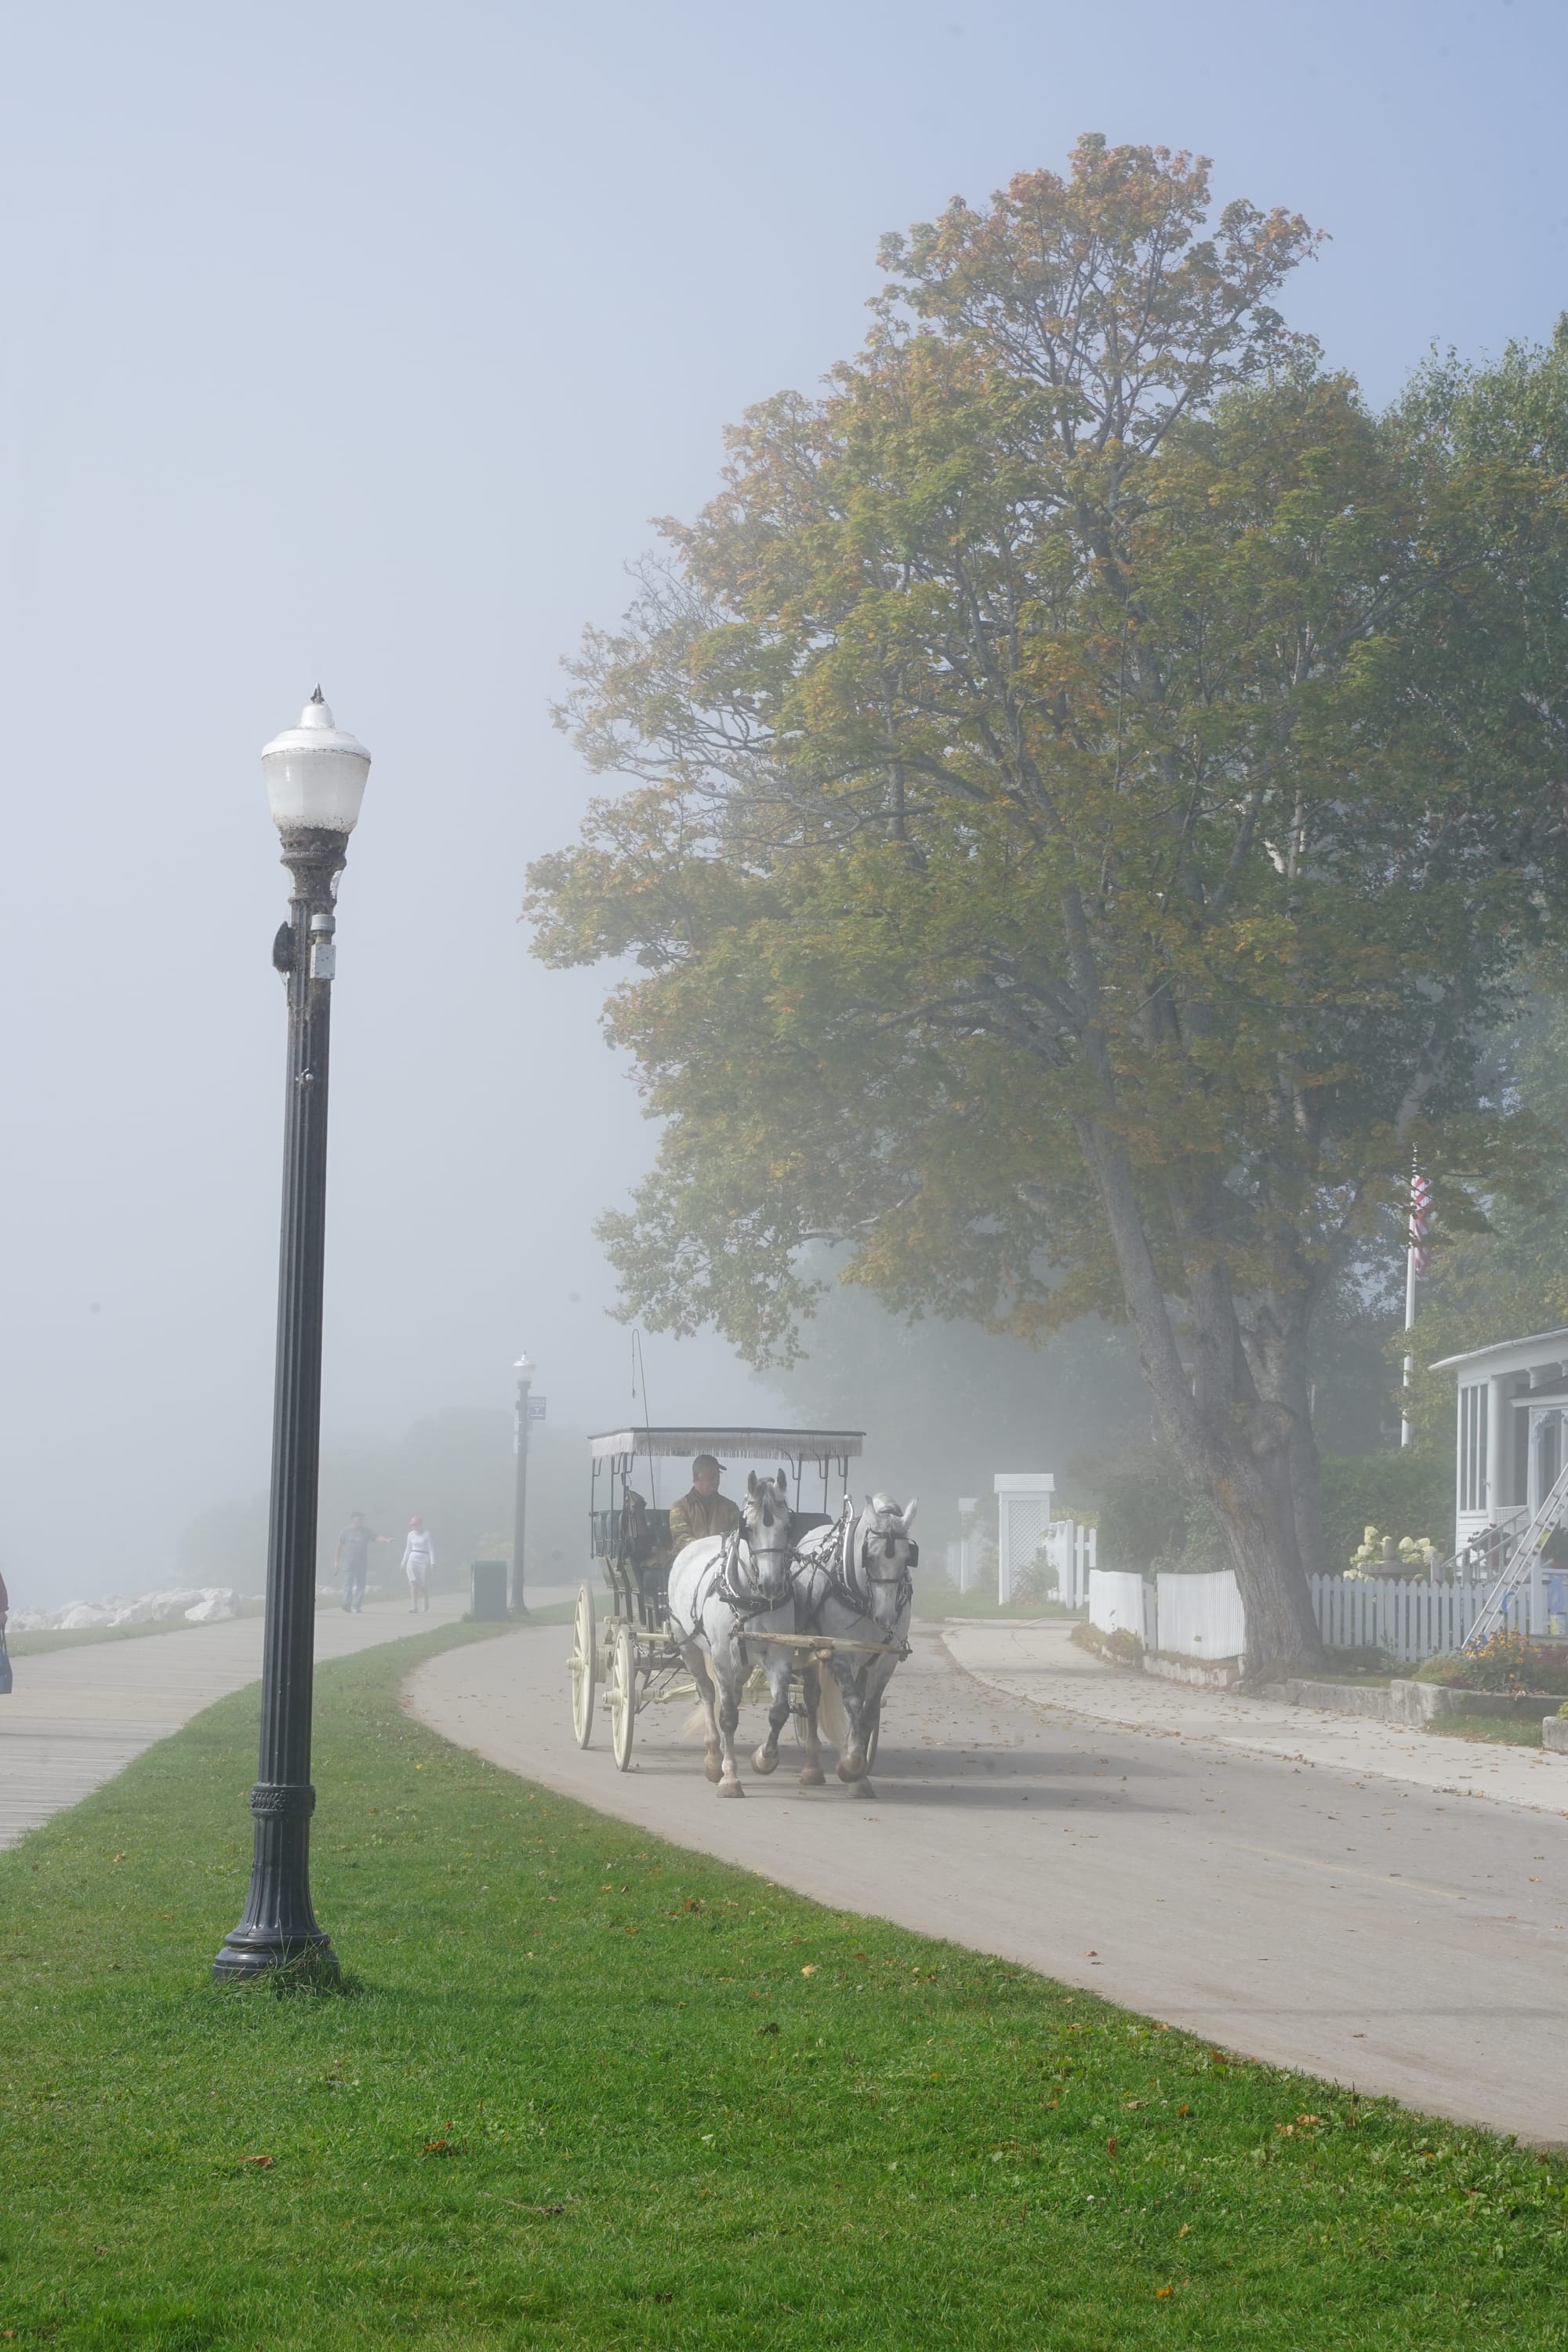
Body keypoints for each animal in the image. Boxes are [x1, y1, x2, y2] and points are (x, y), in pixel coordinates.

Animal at [667, 1468, 804, 1797]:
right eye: (748, 1529)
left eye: (788, 1525)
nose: (771, 1584)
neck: (750, 1597)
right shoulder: (721, 1658)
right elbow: (728, 1717)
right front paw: (729, 1776)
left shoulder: (779, 1654)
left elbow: (779, 1711)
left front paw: (765, 1759)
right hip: (689, 1646)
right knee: (707, 1693)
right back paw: (713, 1757)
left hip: (744, 1661)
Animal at [799, 1496, 921, 1769]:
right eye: (870, 1557)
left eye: (907, 1558)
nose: (886, 1617)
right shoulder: (842, 1654)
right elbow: (853, 1702)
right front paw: (852, 1757)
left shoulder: (885, 1659)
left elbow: (870, 1708)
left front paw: (861, 1756)